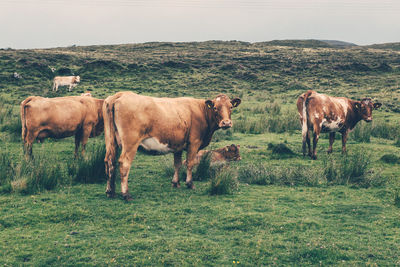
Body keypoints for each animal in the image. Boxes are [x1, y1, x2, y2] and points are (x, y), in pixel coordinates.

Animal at [104, 93, 241, 200]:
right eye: (215, 108)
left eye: (230, 107)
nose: (226, 123)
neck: (201, 112)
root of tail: (120, 94)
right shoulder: (194, 143)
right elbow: (190, 163)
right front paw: (189, 183)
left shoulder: (178, 145)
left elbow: (177, 164)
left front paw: (175, 183)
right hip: (130, 143)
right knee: (124, 163)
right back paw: (126, 194)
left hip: (111, 142)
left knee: (109, 162)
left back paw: (110, 191)